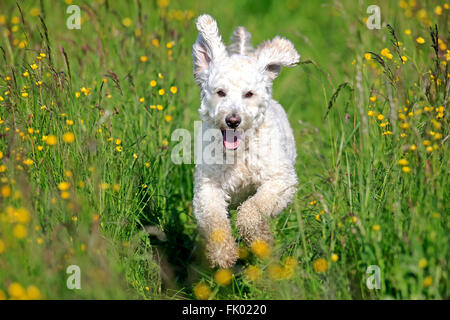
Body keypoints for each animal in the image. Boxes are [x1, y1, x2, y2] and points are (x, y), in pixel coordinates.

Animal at [191, 14, 298, 268]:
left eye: (249, 94)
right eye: (220, 92)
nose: (233, 120)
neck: (239, 153)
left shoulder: (281, 181)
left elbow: (253, 210)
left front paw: (259, 238)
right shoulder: (207, 188)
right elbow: (215, 221)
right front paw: (223, 253)